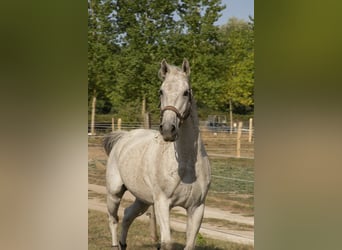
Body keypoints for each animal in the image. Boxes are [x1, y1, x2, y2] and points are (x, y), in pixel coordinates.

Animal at [103, 59, 211, 250]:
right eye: (161, 91)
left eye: (186, 92)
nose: (168, 129)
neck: (187, 164)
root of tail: (124, 137)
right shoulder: (162, 203)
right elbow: (166, 243)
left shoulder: (197, 208)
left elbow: (189, 245)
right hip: (114, 193)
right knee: (113, 219)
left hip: (143, 200)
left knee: (128, 214)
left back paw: (124, 244)